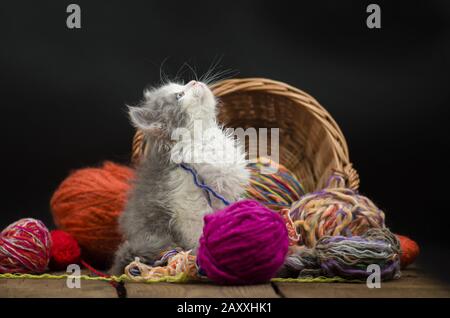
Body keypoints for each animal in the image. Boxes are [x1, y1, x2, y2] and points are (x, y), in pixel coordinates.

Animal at [110, 80, 248, 276]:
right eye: (179, 95)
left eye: (182, 85)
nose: (194, 81)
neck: (201, 138)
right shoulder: (188, 210)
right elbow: (198, 236)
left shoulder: (228, 190)